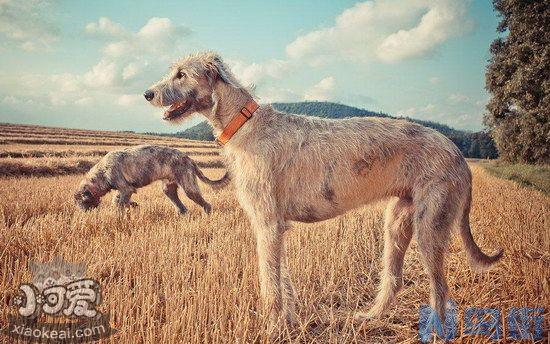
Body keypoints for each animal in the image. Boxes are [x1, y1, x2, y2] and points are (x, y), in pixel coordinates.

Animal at [74, 144, 230, 214]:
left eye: (81, 202)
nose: (83, 215)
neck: (102, 172)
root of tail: (190, 159)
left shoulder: (125, 188)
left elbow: (120, 204)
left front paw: (119, 215)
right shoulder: (122, 189)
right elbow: (116, 201)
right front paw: (132, 205)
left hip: (189, 188)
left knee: (206, 204)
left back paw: (207, 214)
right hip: (168, 189)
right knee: (182, 207)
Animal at [143, 52, 504, 332]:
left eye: (181, 73)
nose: (147, 94)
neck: (244, 124)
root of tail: (458, 153)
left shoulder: (267, 222)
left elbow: (269, 281)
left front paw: (271, 327)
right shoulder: (275, 227)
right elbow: (281, 279)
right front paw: (287, 321)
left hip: (431, 223)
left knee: (440, 289)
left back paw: (436, 329)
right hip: (398, 218)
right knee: (395, 277)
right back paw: (370, 317)